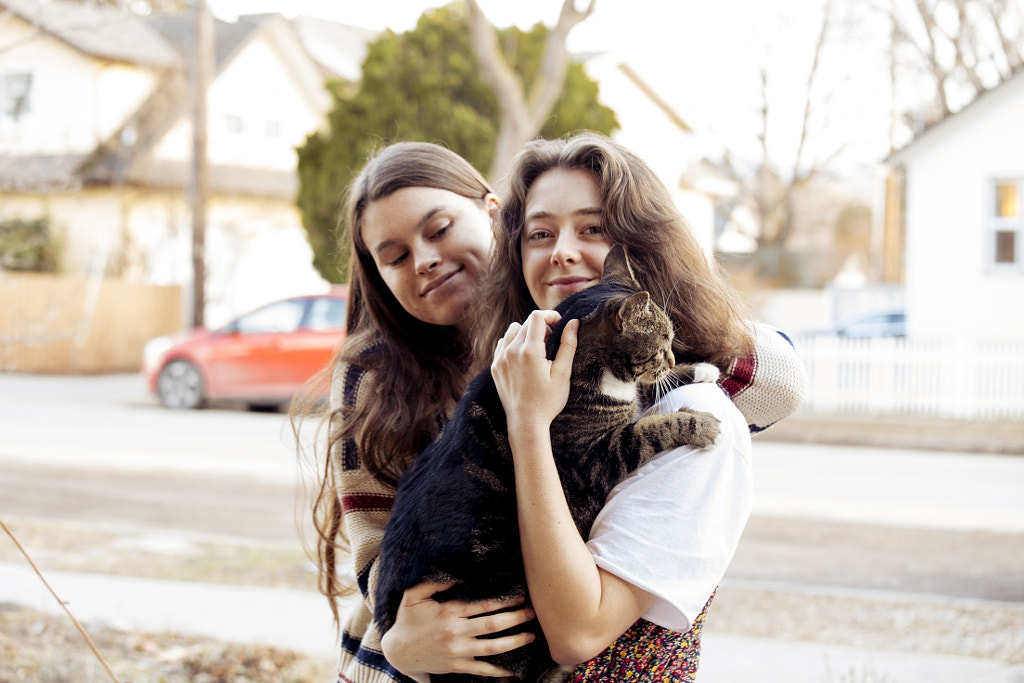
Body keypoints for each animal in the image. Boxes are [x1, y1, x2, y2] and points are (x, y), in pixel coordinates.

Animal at [374, 245, 720, 683]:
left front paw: (701, 369)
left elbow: (647, 395)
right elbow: (649, 428)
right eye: (662, 344)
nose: (674, 357)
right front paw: (699, 421)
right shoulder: (596, 456)